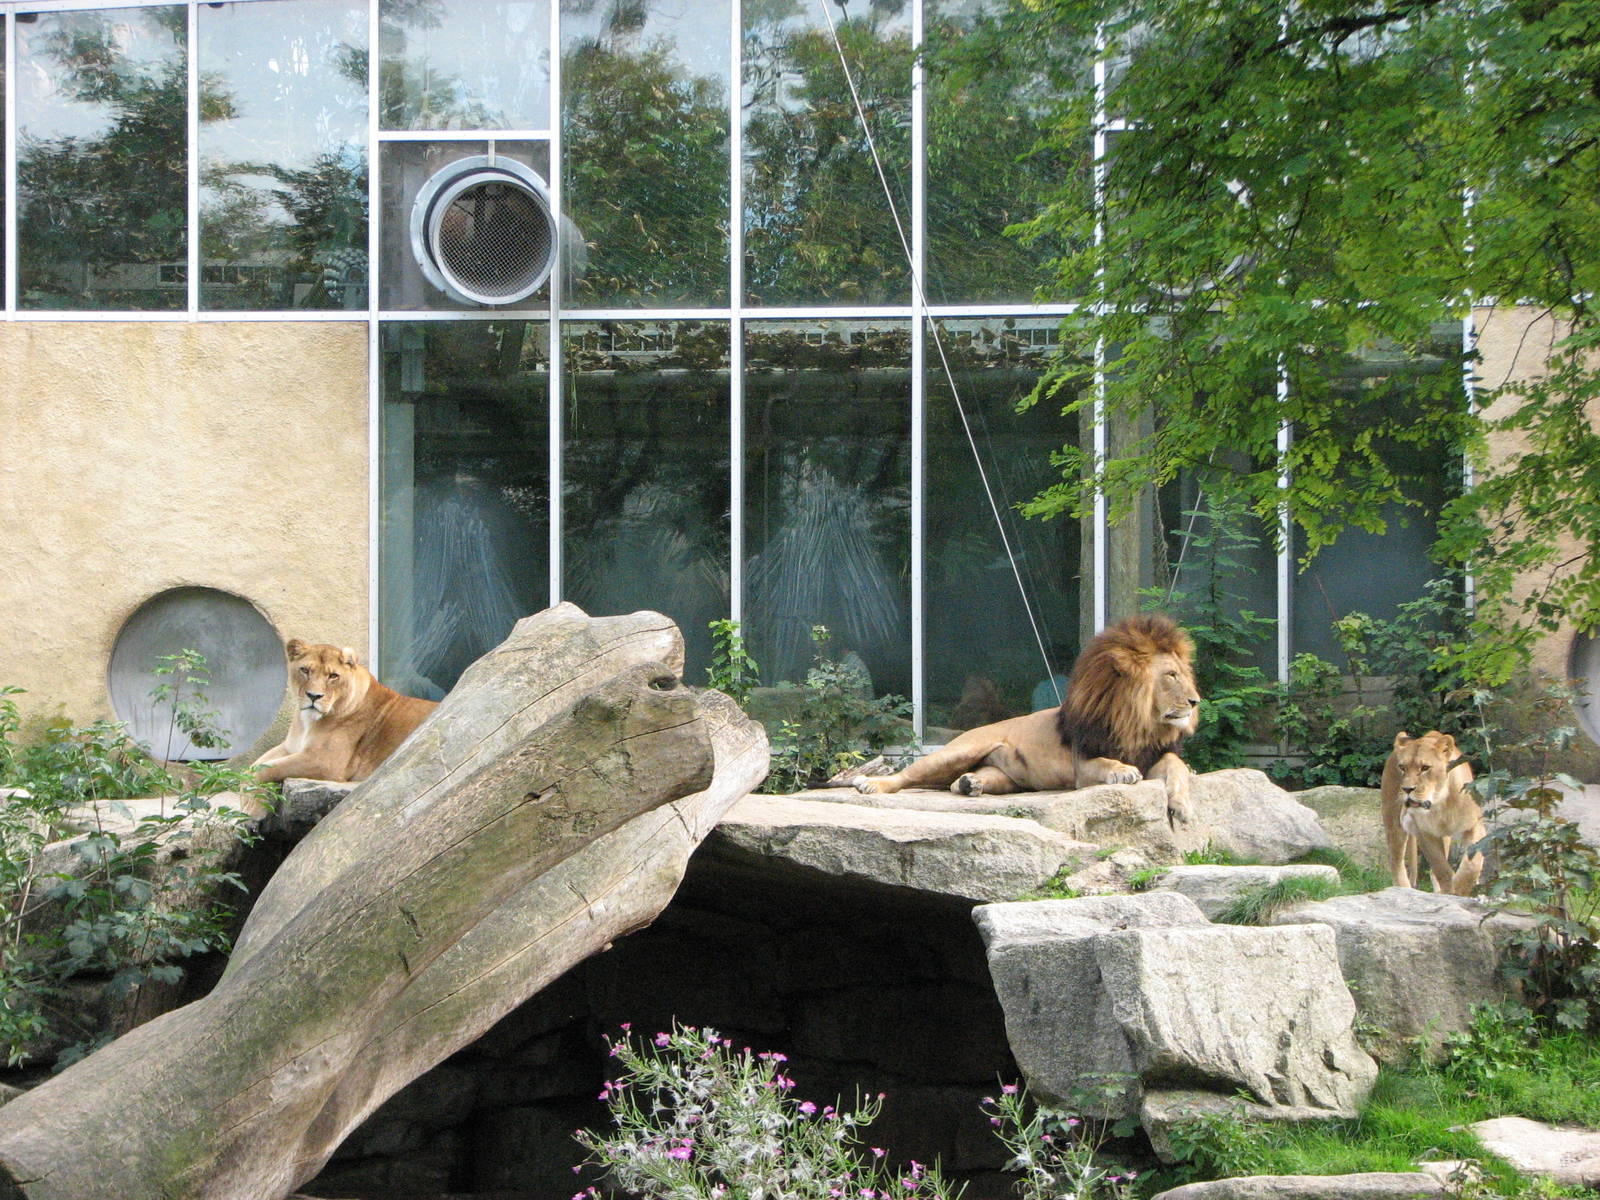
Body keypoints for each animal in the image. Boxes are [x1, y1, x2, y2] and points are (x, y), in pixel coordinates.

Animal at [252, 640, 438, 784]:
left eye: (333, 676)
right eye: (305, 670)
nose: (314, 696)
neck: (307, 722)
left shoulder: (325, 762)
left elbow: (265, 769)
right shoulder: (289, 747)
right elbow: (256, 763)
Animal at [855, 614, 1201, 823]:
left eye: (1183, 674)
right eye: (1171, 675)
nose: (1195, 701)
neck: (1139, 724)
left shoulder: (1154, 753)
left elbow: (1177, 767)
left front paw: (1183, 807)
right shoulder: (1082, 765)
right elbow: (1106, 763)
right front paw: (1124, 771)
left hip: (1005, 776)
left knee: (960, 782)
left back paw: (970, 783)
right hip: (957, 752)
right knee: (907, 776)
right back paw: (871, 784)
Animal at [1381, 730, 1486, 896]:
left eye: (1425, 767)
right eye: (1402, 767)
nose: (1407, 789)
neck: (1440, 803)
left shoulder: (1475, 824)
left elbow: (1472, 864)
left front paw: (1460, 889)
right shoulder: (1423, 831)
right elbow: (1440, 867)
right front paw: (1451, 889)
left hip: (1445, 836)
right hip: (1393, 820)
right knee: (1396, 861)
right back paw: (1403, 889)